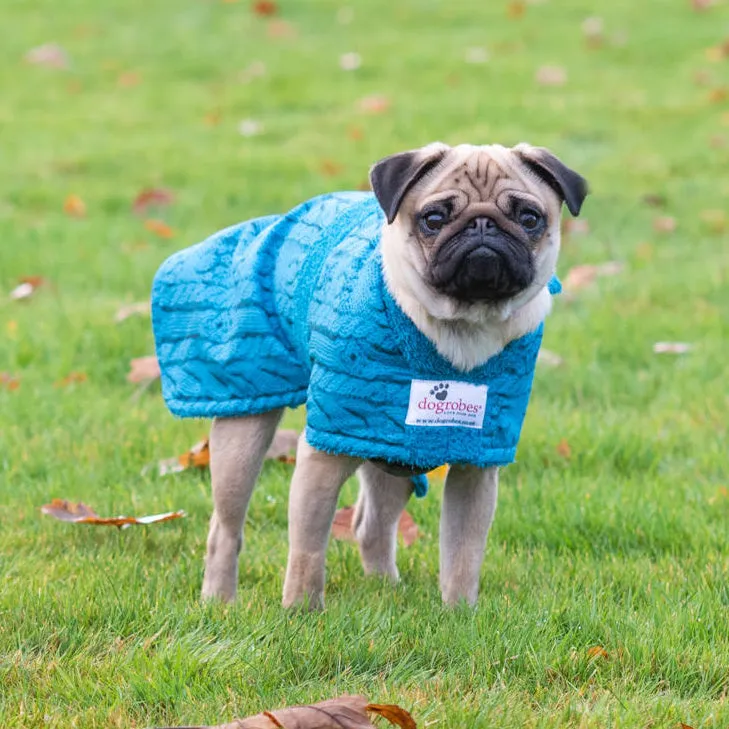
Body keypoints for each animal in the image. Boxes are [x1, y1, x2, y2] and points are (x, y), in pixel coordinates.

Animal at [149, 142, 584, 608]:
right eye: (434, 218)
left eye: (529, 218)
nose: (482, 225)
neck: (463, 328)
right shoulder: (324, 453)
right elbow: (307, 550)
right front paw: (301, 611)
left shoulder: (477, 463)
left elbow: (463, 555)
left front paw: (460, 613)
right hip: (244, 432)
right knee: (226, 527)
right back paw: (219, 600)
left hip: (388, 445)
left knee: (372, 526)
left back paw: (385, 588)